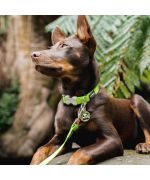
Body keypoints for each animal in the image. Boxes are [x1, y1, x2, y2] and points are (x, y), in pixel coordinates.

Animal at [30, 15, 150, 165]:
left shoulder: (112, 139)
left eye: (64, 45)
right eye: (51, 47)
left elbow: (81, 153)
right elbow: (39, 151)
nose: (33, 55)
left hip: (137, 100)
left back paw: (144, 145)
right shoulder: (61, 138)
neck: (76, 100)